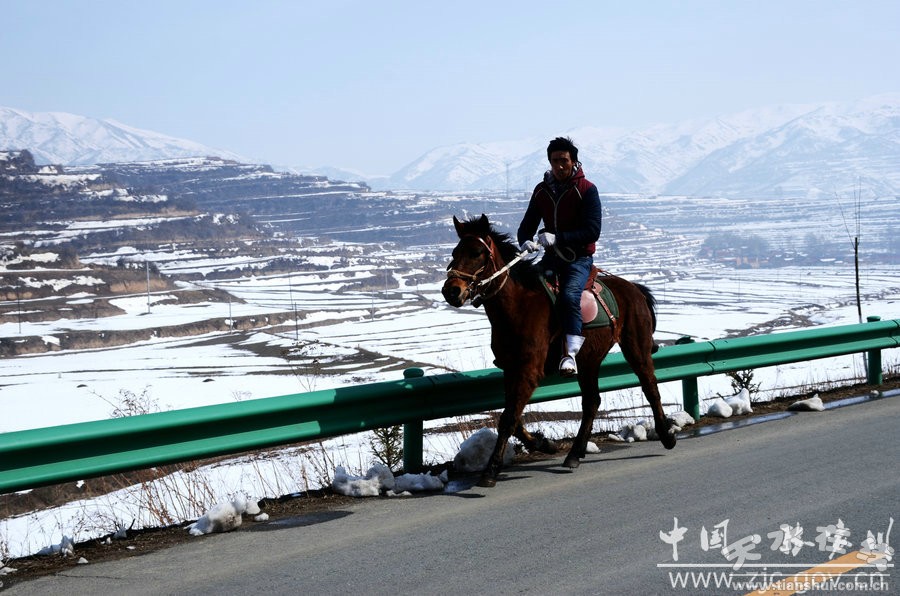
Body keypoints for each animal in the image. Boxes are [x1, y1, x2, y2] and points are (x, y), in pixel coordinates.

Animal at [442, 217, 676, 486]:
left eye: (477, 253)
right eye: (455, 253)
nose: (451, 291)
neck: (518, 306)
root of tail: (634, 288)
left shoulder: (529, 371)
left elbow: (508, 419)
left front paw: (491, 471)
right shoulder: (511, 369)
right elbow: (514, 417)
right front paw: (545, 444)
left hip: (636, 348)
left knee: (650, 387)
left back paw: (667, 436)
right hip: (589, 359)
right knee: (592, 402)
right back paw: (574, 453)